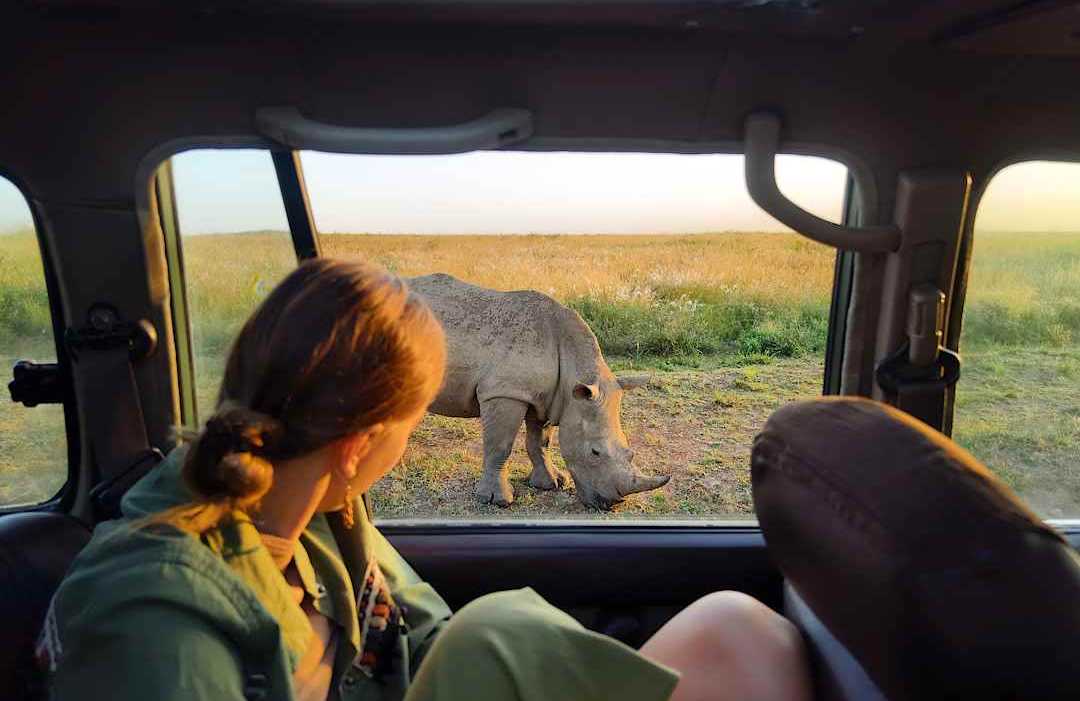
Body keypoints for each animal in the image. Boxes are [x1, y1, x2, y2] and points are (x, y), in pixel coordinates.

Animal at [408, 273, 670, 510]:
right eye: (595, 452)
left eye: (630, 452)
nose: (613, 504)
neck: (573, 366)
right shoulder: (505, 391)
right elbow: (500, 446)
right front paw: (497, 500)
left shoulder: (550, 397)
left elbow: (539, 442)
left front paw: (551, 483)